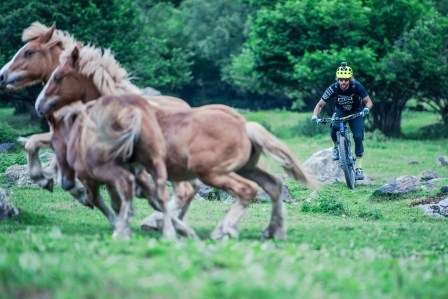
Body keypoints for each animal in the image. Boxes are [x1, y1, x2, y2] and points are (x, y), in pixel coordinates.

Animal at [35, 45, 316, 240]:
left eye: (58, 77)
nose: (39, 105)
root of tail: (244, 126)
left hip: (212, 172)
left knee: (246, 190)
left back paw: (223, 229)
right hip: (245, 167)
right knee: (273, 185)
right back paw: (273, 231)